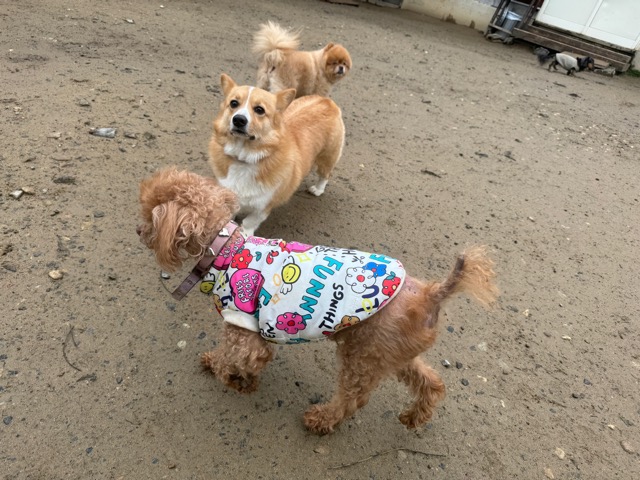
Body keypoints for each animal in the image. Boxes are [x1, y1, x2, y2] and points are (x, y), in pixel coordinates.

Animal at [137, 167, 499, 435]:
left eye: (149, 216)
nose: (138, 231)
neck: (225, 249)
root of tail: (431, 293)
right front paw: (237, 376)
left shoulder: (243, 329)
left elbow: (233, 359)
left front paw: (229, 375)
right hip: (388, 352)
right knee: (431, 382)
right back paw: (415, 416)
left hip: (362, 355)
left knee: (353, 399)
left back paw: (322, 419)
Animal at [208, 73, 345, 236]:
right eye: (234, 103)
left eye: (259, 110)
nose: (239, 120)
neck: (244, 158)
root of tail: (326, 101)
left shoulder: (263, 206)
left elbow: (249, 222)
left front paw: (244, 234)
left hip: (327, 157)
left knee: (325, 174)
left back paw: (317, 189)